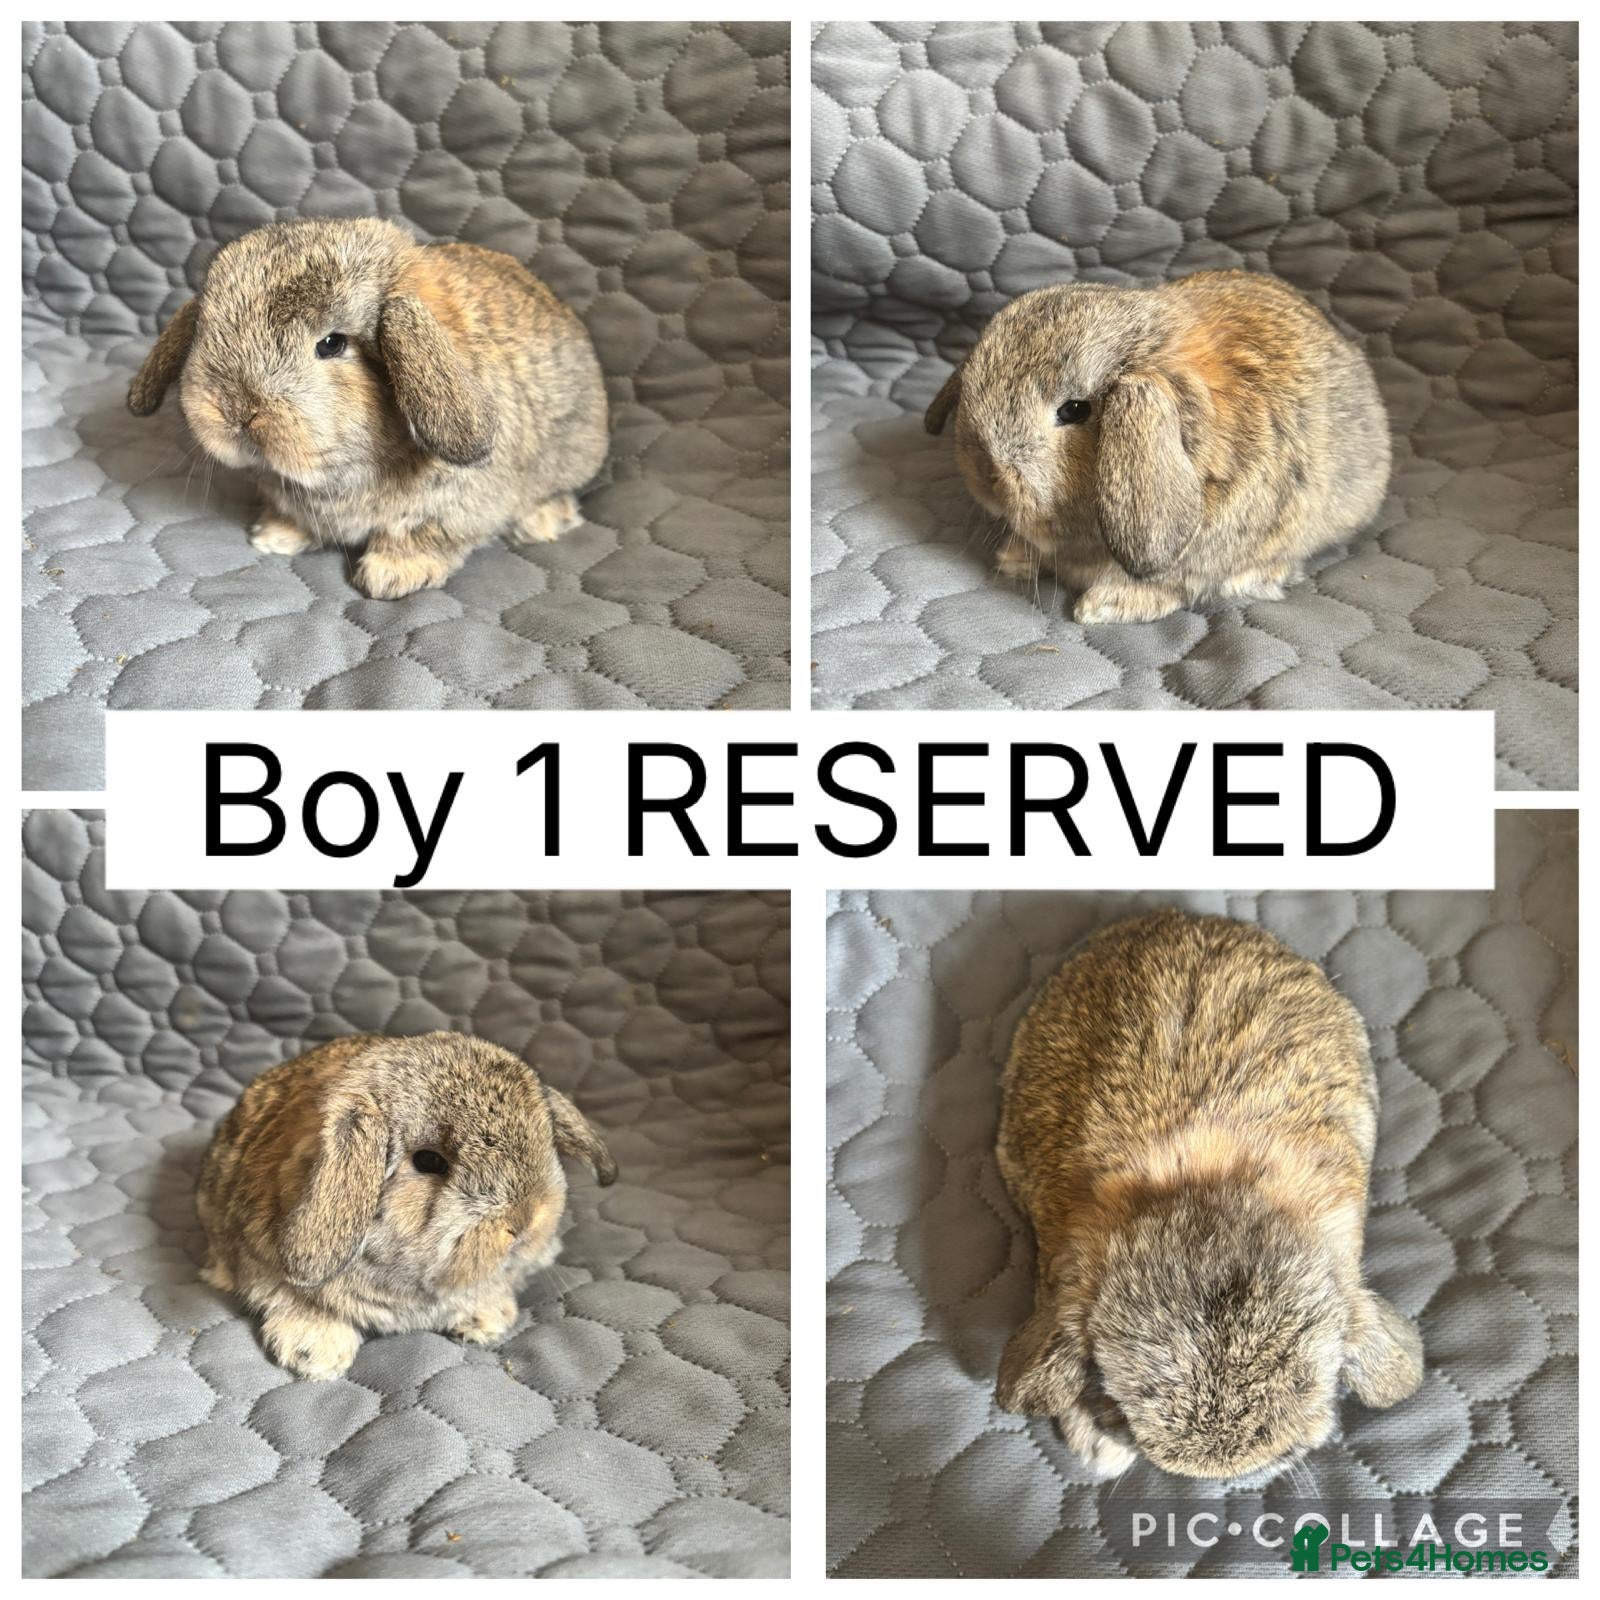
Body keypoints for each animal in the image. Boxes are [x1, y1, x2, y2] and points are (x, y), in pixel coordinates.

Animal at [128, 218, 607, 600]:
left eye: (331, 344)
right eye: (206, 328)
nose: (237, 411)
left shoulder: (454, 508)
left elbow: (425, 536)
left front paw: (391, 576)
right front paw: (274, 536)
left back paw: (543, 522)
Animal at [197, 1031, 617, 1379]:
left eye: (544, 1138)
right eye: (429, 1161)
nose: (525, 1221)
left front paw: (487, 1319)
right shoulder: (257, 1264)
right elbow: (290, 1300)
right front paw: (316, 1355)